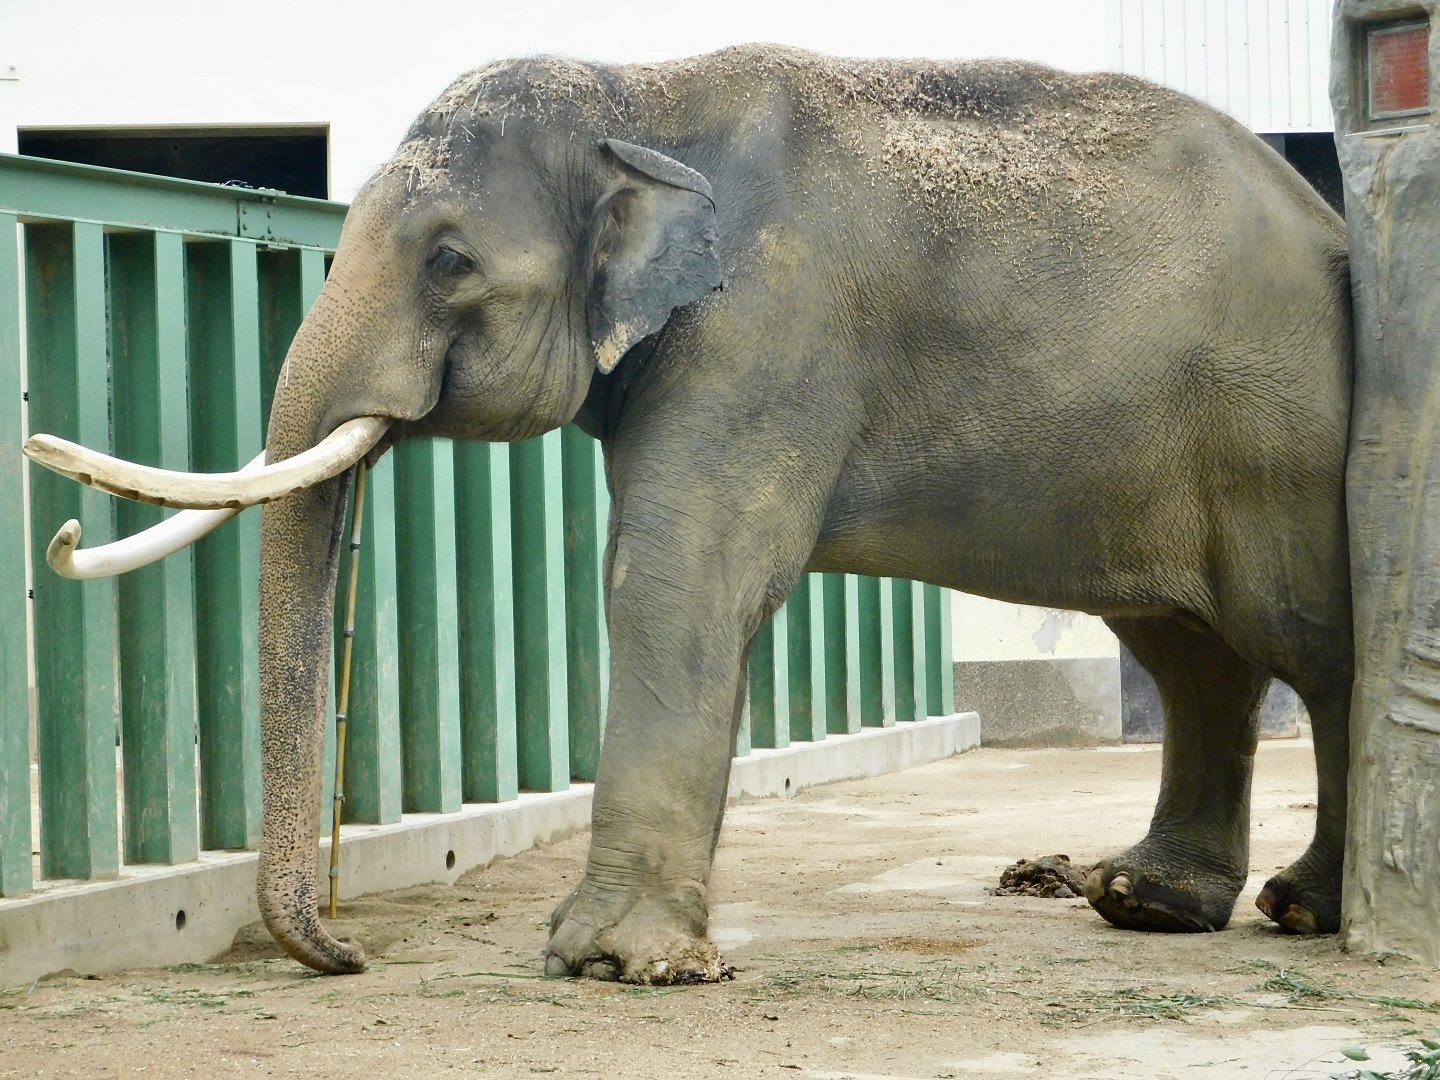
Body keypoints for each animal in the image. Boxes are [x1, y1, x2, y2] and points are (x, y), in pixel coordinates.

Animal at [28, 44, 1354, 983]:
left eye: (449, 261)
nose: (351, 952)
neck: (638, 94)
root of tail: (1336, 227)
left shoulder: (767, 325)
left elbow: (677, 577)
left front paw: (612, 966)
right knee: (1191, 656)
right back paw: (1146, 902)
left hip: (1281, 435)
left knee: (1305, 643)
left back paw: (1304, 910)